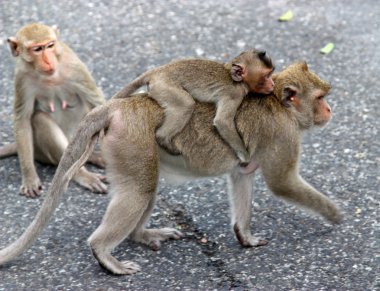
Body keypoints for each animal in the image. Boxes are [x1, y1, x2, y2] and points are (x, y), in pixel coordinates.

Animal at [0, 22, 107, 196]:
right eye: (37, 49)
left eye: (50, 45)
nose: (48, 60)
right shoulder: (22, 76)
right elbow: (22, 119)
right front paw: (29, 177)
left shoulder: (75, 67)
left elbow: (99, 104)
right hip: (41, 151)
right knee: (40, 119)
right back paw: (81, 174)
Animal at [0, 61, 342, 276]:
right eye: (320, 97)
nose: (329, 109)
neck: (280, 107)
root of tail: (120, 106)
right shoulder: (284, 135)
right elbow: (281, 182)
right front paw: (333, 214)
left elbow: (242, 175)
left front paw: (245, 235)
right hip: (133, 142)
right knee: (140, 191)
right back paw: (105, 255)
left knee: (145, 190)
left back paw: (141, 235)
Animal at [111, 49, 274, 163]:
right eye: (266, 76)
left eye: (271, 73)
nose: (272, 84)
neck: (239, 81)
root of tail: (158, 70)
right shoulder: (234, 94)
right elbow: (223, 122)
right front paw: (245, 156)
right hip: (164, 86)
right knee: (186, 104)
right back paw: (164, 139)